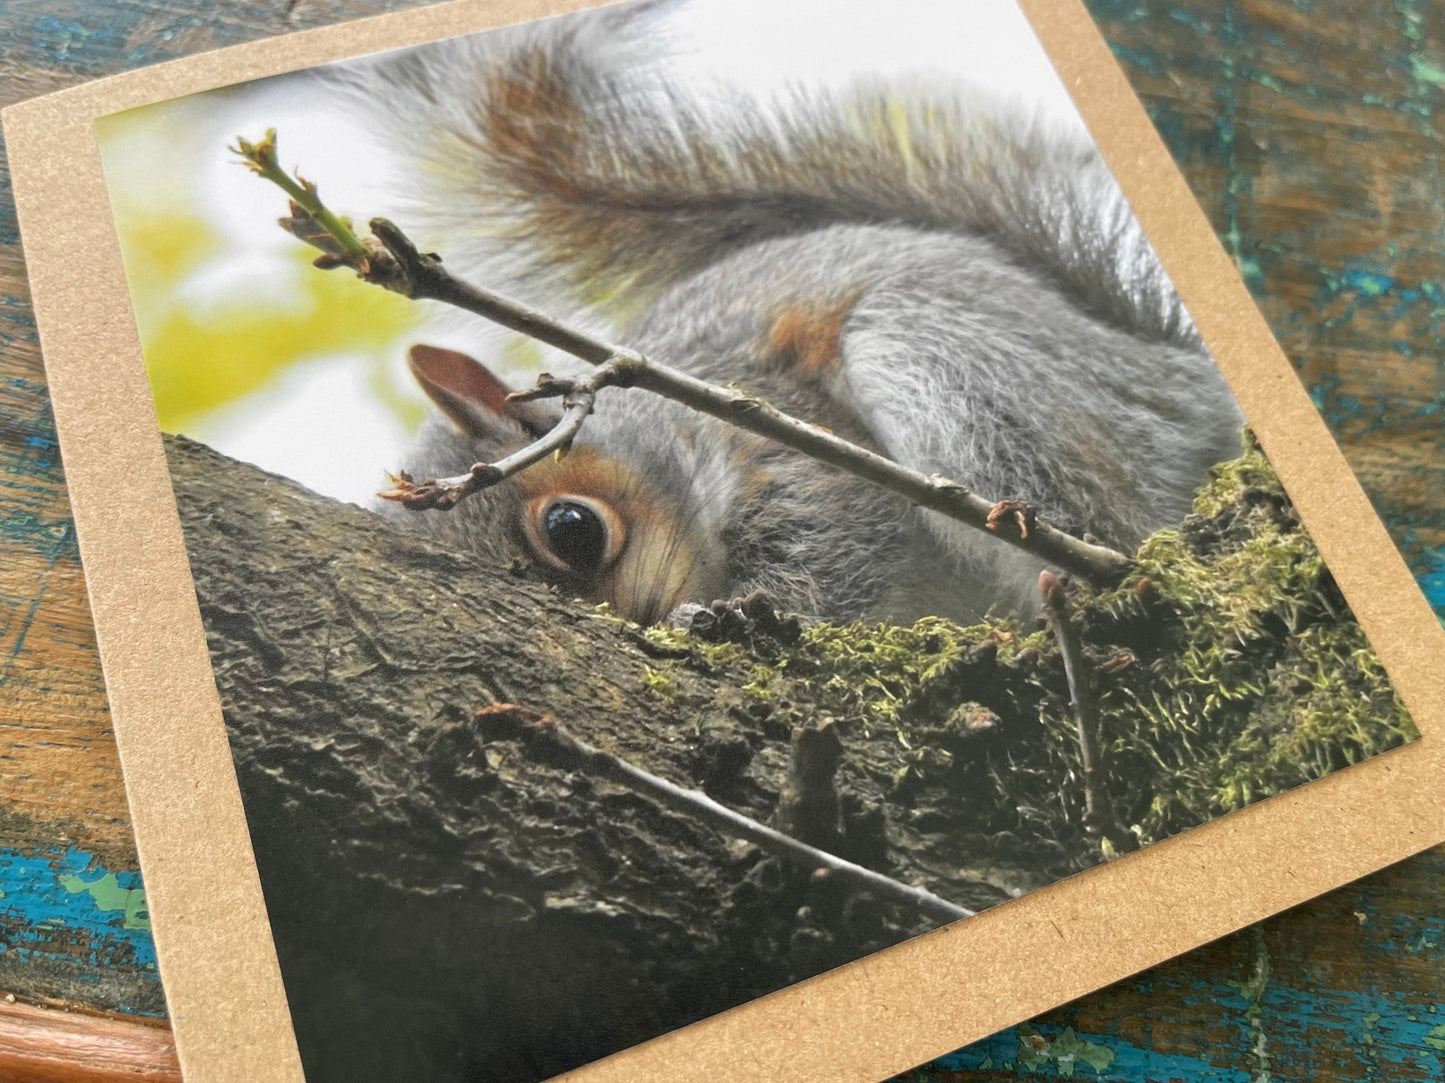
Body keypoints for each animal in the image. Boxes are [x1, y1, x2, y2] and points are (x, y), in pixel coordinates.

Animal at [339, 0, 1244, 626]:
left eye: (572, 529)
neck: (686, 429)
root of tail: (1189, 384)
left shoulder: (801, 462)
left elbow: (837, 560)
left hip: (961, 366)